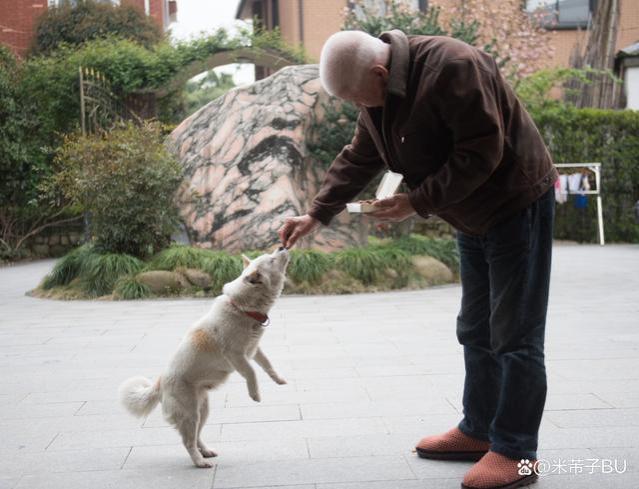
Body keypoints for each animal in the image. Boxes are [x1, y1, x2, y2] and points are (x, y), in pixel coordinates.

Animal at [119, 246, 292, 468]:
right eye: (271, 260)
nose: (282, 246)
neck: (243, 308)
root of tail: (160, 383)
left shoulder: (254, 349)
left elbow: (267, 364)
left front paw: (278, 379)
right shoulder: (236, 355)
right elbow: (252, 372)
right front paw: (255, 394)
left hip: (203, 410)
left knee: (196, 437)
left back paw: (206, 452)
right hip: (190, 414)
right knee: (187, 442)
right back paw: (199, 462)